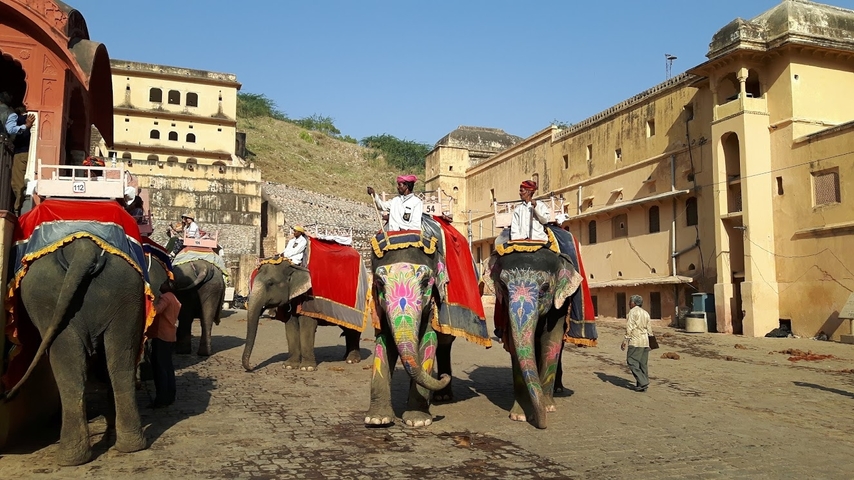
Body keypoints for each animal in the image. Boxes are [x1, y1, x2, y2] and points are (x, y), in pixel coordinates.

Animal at [2, 237, 148, 465]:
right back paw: (127, 446)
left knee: (69, 364)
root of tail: (83, 249)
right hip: (125, 290)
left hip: (47, 296)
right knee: (119, 360)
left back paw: (69, 457)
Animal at [365, 246, 456, 428]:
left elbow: (429, 338)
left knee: (444, 343)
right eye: (379, 283)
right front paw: (377, 419)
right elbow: (383, 342)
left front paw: (418, 421)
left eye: (425, 282)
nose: (444, 377)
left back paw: (443, 396)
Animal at [489, 246, 582, 429]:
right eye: (502, 285)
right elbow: (515, 345)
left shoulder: (559, 305)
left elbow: (552, 340)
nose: (543, 425)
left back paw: (558, 389)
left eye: (545, 287)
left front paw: (549, 408)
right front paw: (520, 416)